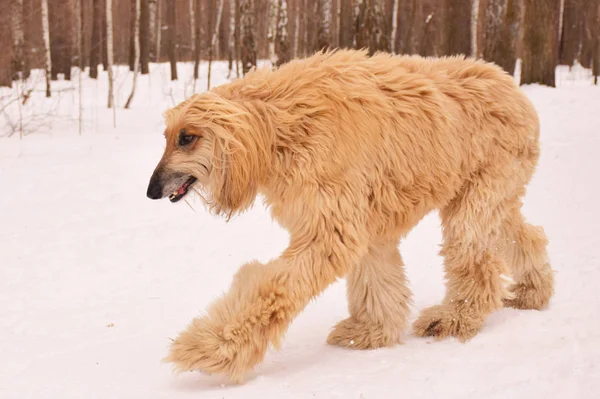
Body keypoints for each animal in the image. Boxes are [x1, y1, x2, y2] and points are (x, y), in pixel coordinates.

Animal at [146, 50, 552, 384]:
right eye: (167, 136)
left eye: (187, 137)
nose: (151, 190)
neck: (282, 125)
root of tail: (514, 89)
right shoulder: (363, 223)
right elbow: (377, 281)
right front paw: (370, 331)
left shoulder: (331, 225)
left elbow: (275, 287)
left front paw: (210, 347)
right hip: (489, 196)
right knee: (524, 235)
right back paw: (533, 290)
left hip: (479, 197)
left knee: (477, 261)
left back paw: (453, 318)